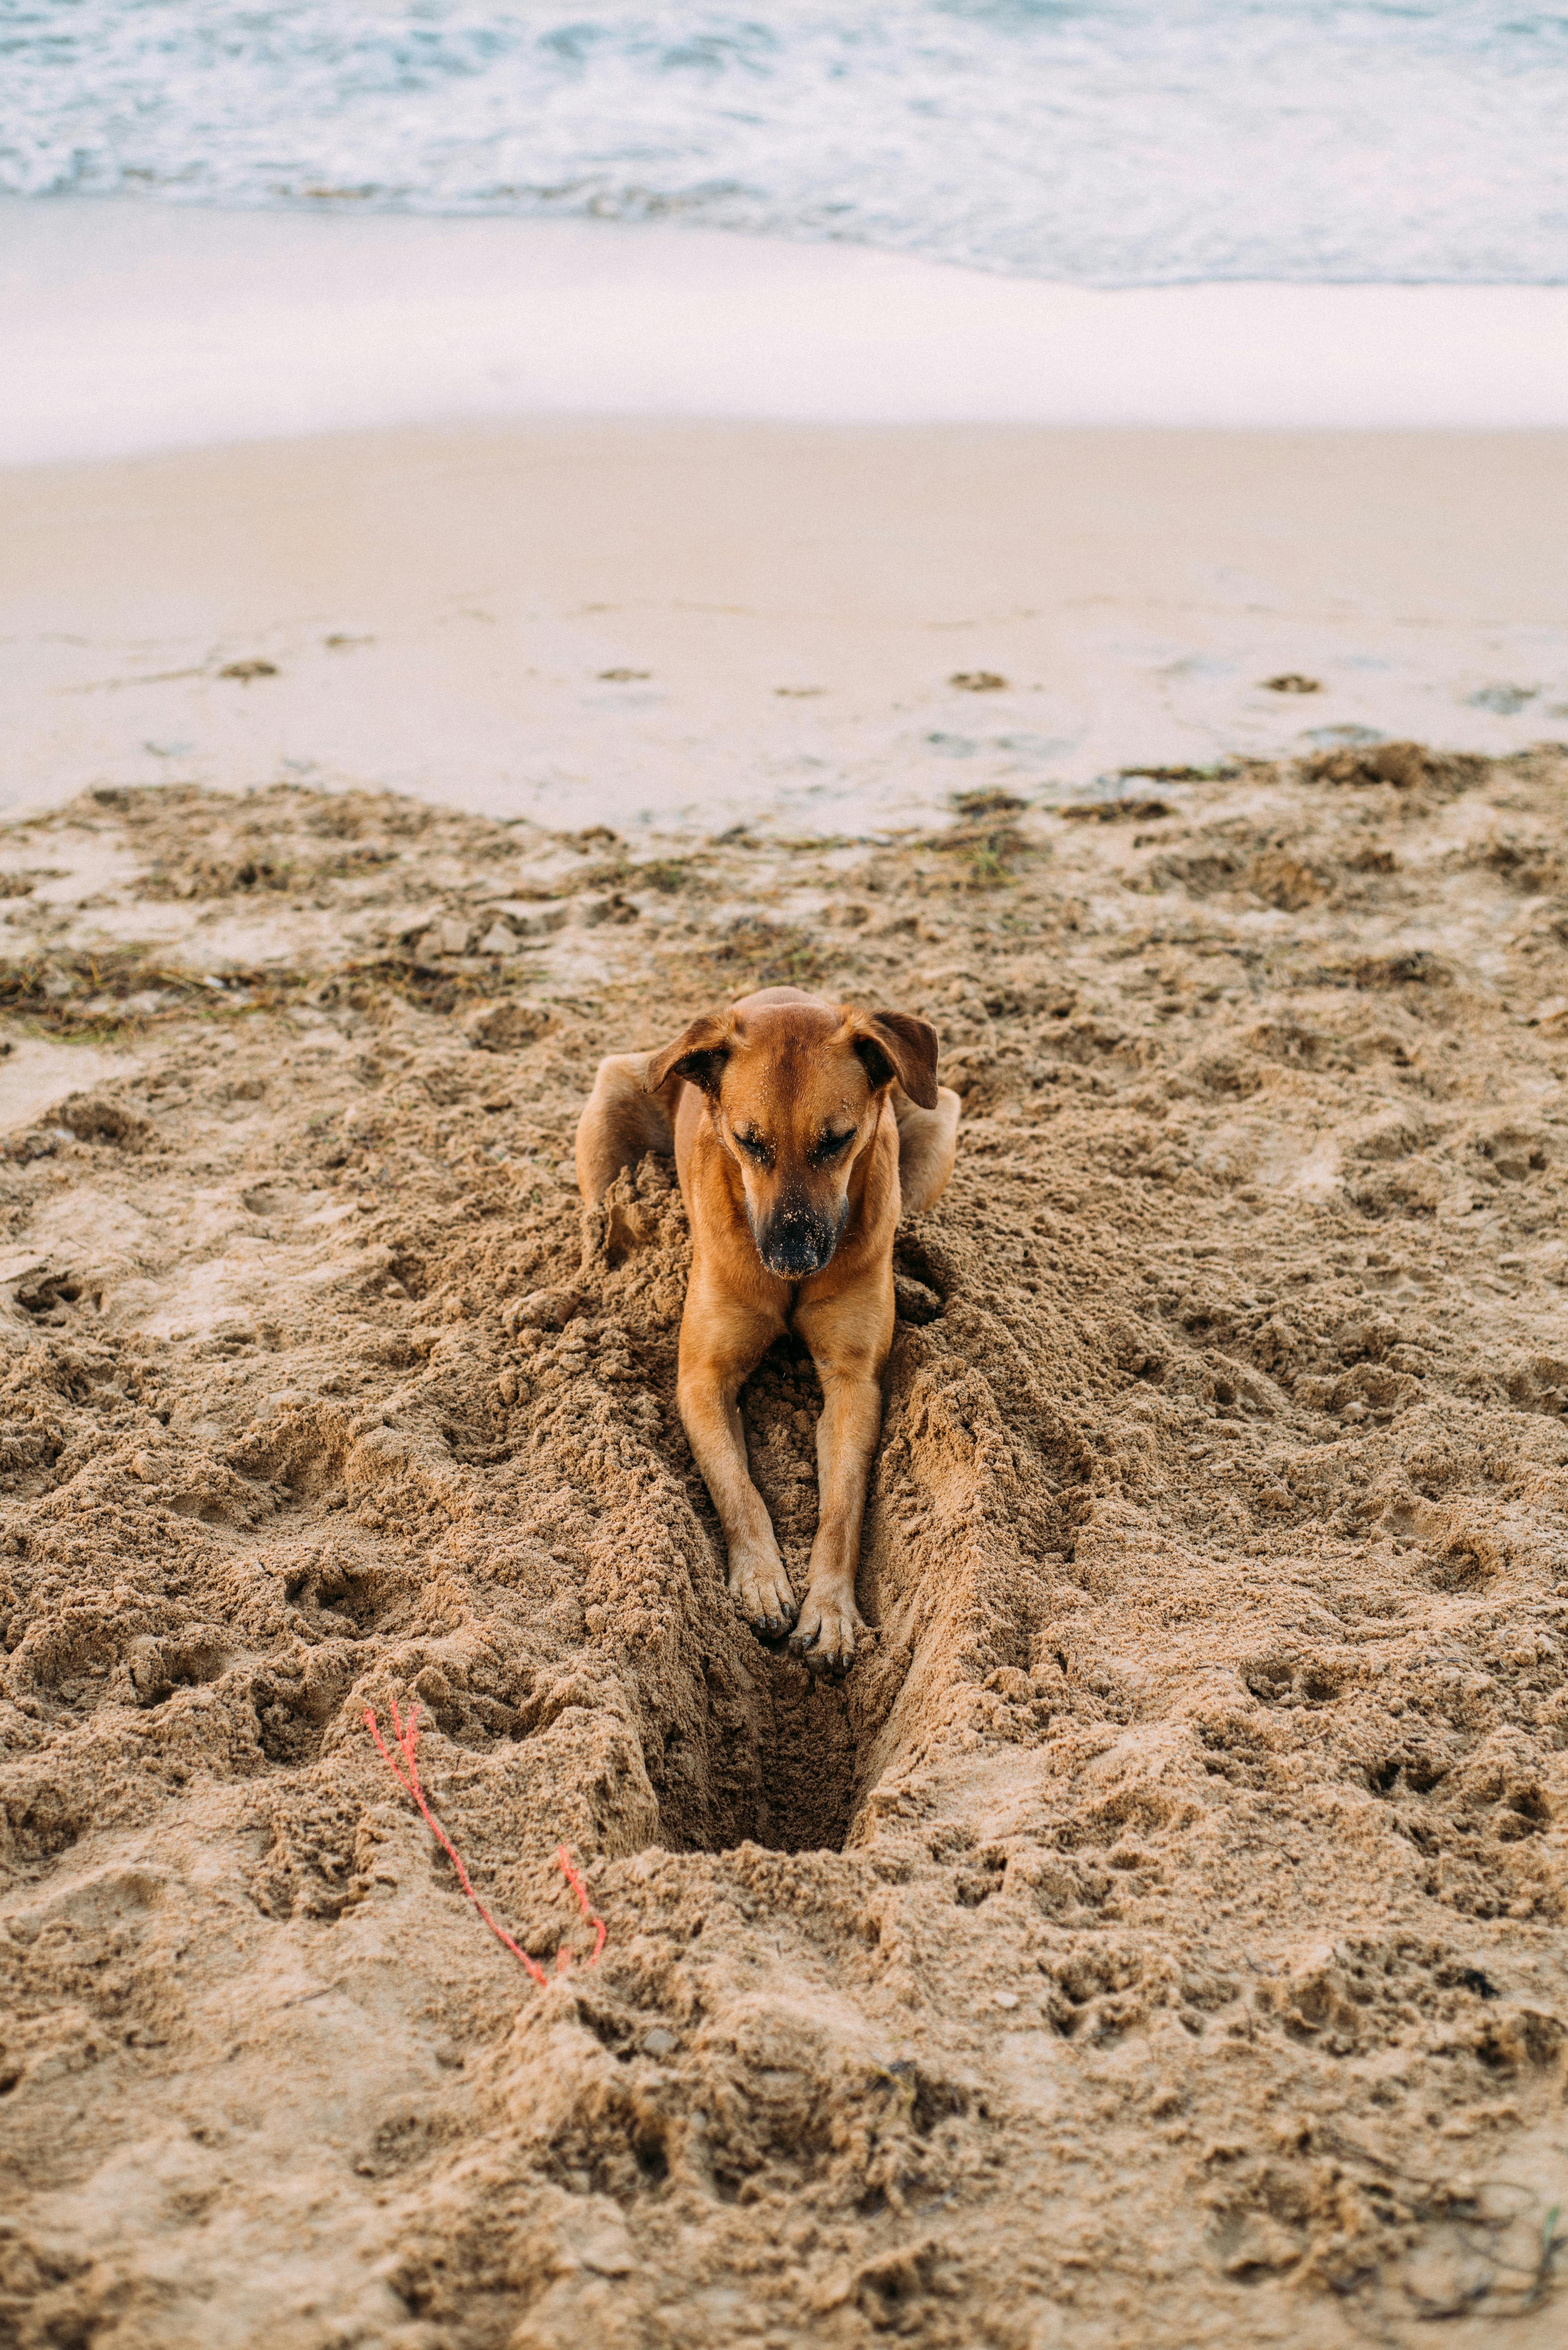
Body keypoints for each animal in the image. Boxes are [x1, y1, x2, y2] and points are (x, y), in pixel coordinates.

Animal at [583, 991, 964, 1673]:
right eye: (748, 1142)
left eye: (837, 1141)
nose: (792, 1258)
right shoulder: (702, 1379)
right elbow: (737, 1488)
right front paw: (761, 1582)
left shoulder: (853, 1383)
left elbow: (841, 1508)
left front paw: (830, 1611)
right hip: (609, 1109)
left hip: (936, 1114)